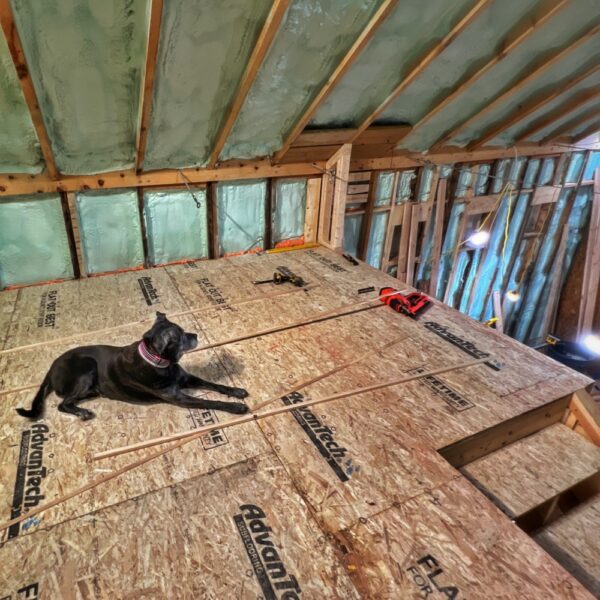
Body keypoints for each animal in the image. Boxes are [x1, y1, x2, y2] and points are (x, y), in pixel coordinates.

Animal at [17, 312, 248, 420]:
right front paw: (236, 407)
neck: (160, 363)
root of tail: (50, 370)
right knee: (63, 404)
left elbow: (215, 385)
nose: (196, 336)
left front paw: (237, 391)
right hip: (87, 367)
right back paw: (82, 413)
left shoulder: (186, 378)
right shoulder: (179, 398)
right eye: (181, 336)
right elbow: (211, 401)